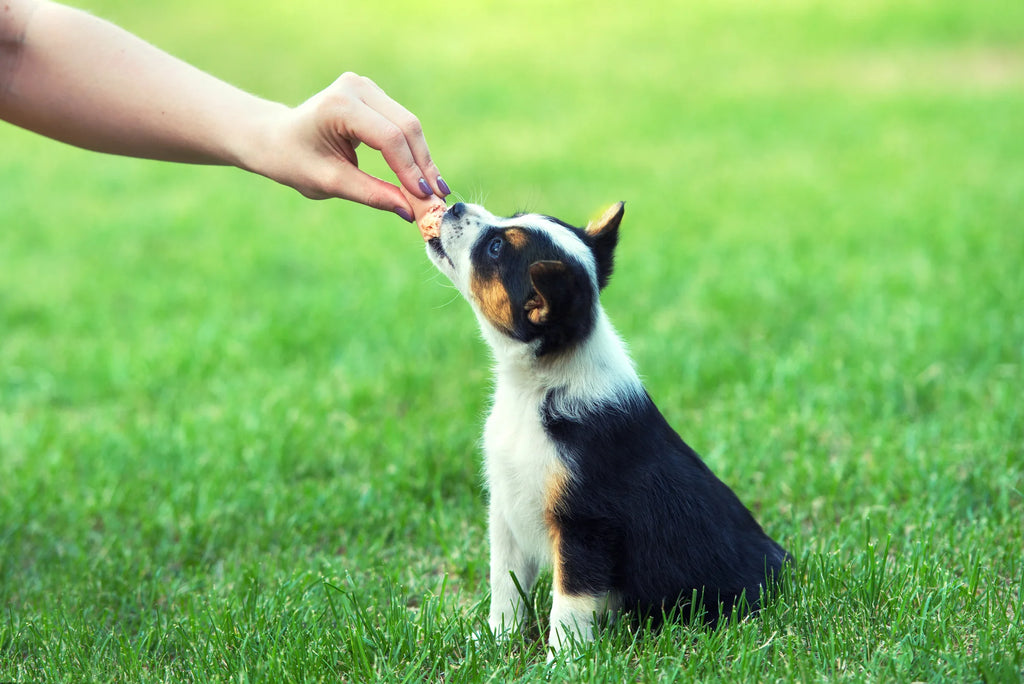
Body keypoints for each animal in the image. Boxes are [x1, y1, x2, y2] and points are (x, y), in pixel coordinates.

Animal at [423, 200, 790, 655]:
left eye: (495, 248)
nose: (455, 205)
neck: (537, 386)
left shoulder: (586, 525)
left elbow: (569, 605)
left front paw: (560, 662)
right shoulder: (505, 510)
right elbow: (505, 586)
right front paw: (495, 640)